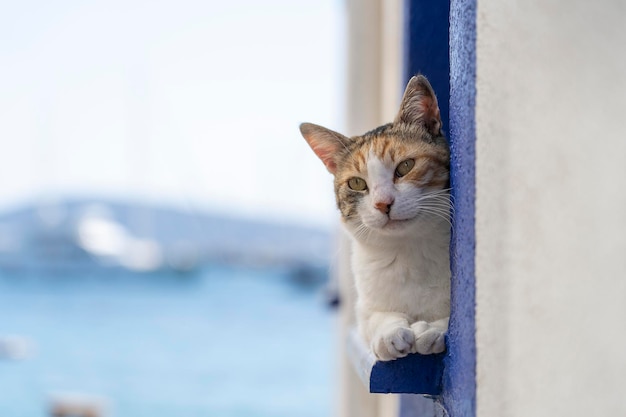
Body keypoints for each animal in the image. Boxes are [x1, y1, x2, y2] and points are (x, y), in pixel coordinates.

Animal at [298, 75, 448, 360]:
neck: (408, 251)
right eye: (356, 183)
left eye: (405, 166)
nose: (383, 203)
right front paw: (391, 332)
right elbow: (375, 317)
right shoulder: (365, 307)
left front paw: (433, 329)